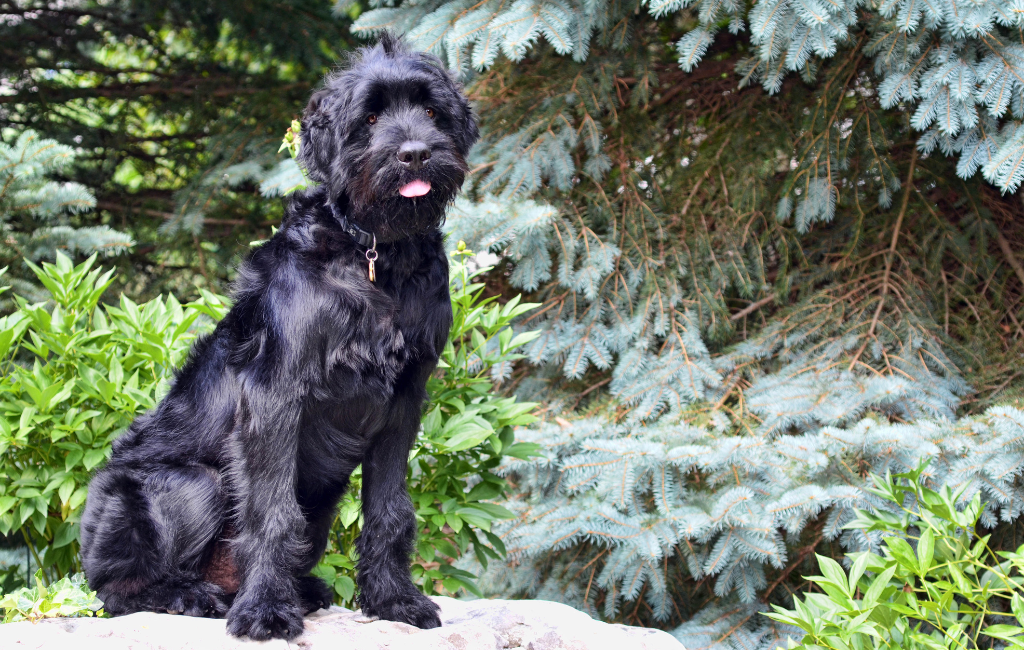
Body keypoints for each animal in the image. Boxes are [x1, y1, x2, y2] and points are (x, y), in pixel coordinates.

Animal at [79, 35, 479, 642]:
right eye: (370, 117)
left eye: (432, 111)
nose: (414, 153)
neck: (376, 257)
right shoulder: (276, 395)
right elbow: (270, 510)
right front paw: (265, 610)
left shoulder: (404, 400)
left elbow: (390, 510)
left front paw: (394, 600)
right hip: (188, 485)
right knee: (117, 592)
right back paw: (192, 596)